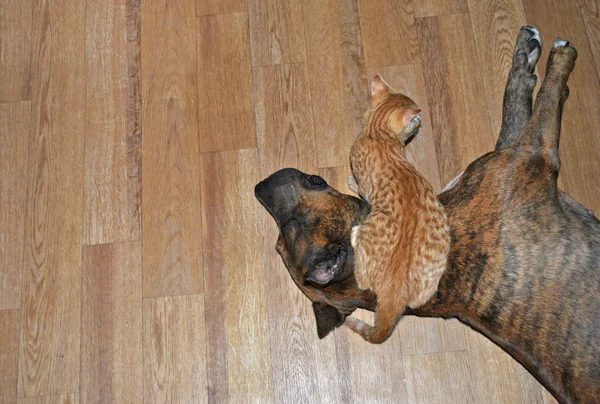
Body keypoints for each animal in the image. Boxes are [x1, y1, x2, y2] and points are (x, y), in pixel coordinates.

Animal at [344, 74, 448, 342]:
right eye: (416, 120)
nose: (421, 121)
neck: (378, 135)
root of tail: (395, 290)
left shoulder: (364, 184)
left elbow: (358, 186)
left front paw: (350, 182)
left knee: (363, 281)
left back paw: (355, 234)